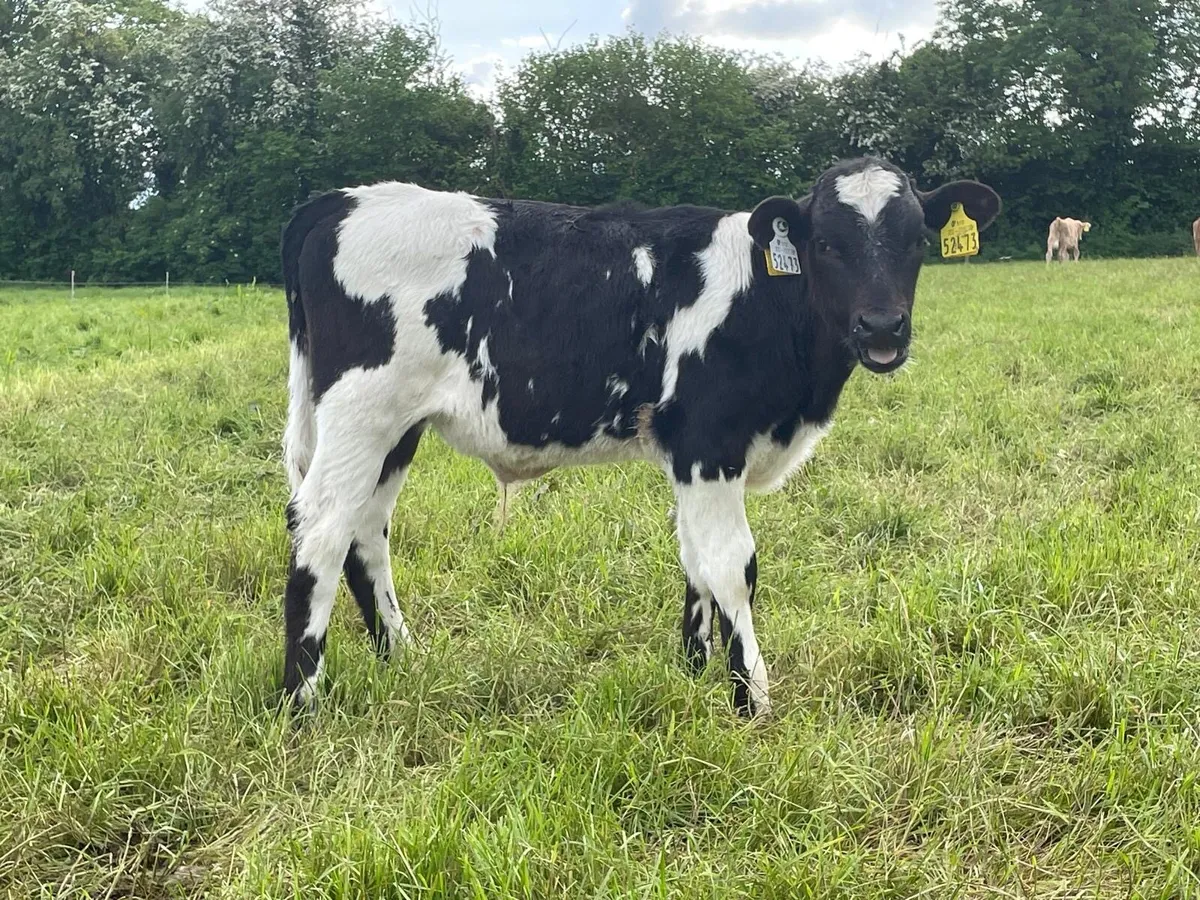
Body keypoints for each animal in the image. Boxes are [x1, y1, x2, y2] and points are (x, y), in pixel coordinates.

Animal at [279, 157, 1001, 717]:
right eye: (826, 243)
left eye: (916, 239)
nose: (882, 328)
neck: (766, 300)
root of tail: (339, 200)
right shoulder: (710, 441)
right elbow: (733, 563)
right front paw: (751, 701)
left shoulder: (687, 453)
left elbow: (694, 557)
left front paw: (694, 668)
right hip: (361, 412)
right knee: (320, 525)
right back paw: (301, 700)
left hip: (397, 429)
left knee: (366, 532)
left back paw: (402, 657)